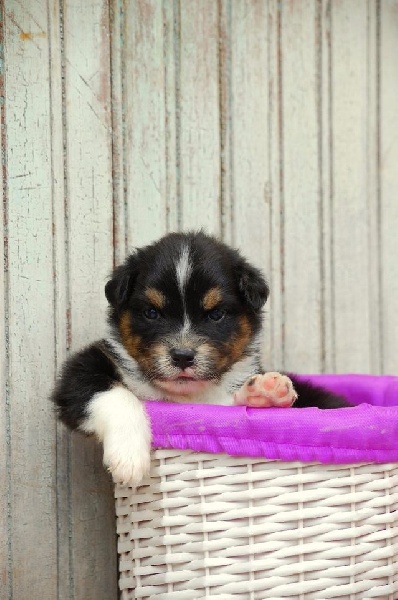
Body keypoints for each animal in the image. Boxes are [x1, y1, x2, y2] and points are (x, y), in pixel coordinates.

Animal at [52, 230, 348, 488]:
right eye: (151, 312)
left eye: (215, 315)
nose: (183, 356)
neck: (183, 396)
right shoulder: (80, 370)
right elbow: (116, 394)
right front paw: (129, 457)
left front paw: (266, 392)